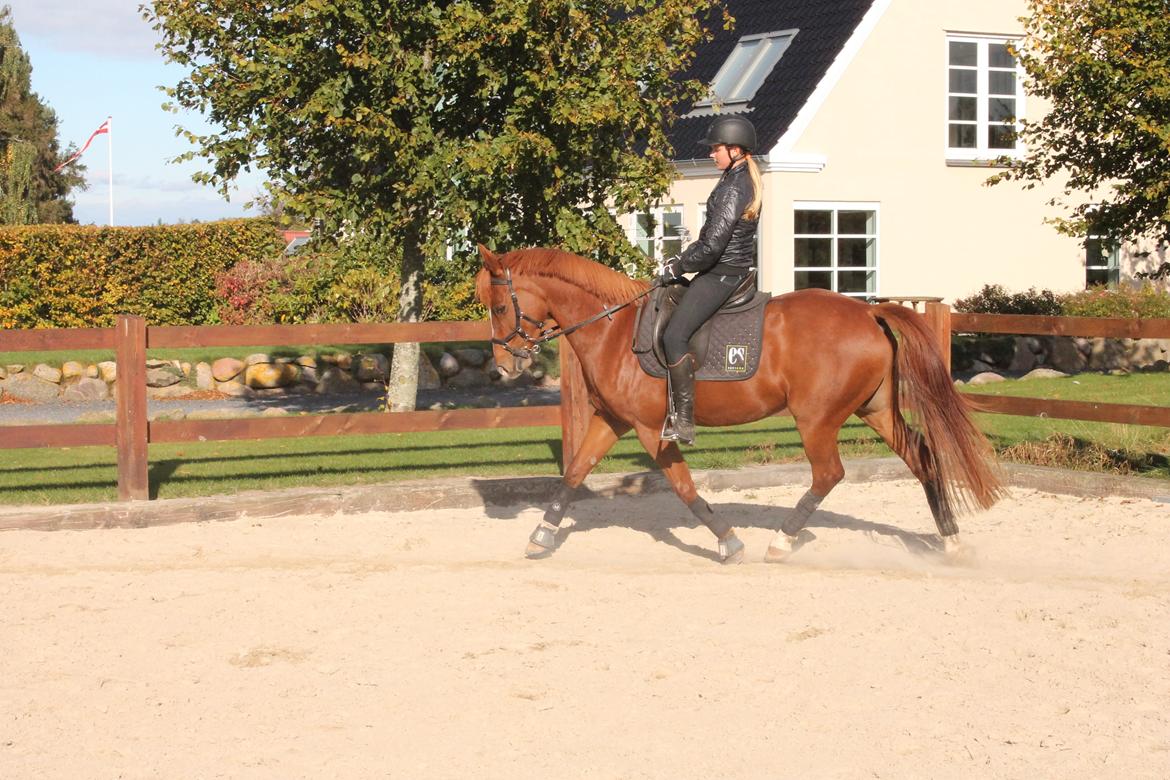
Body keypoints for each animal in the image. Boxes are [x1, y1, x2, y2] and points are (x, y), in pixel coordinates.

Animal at [477, 244, 1006, 561]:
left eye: (500, 306)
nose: (501, 368)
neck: (613, 329)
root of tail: (867, 311)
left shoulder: (651, 429)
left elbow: (685, 488)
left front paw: (728, 541)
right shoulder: (611, 420)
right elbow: (574, 473)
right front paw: (541, 535)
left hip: (816, 418)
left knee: (828, 474)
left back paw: (782, 541)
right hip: (874, 410)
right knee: (920, 454)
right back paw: (951, 540)